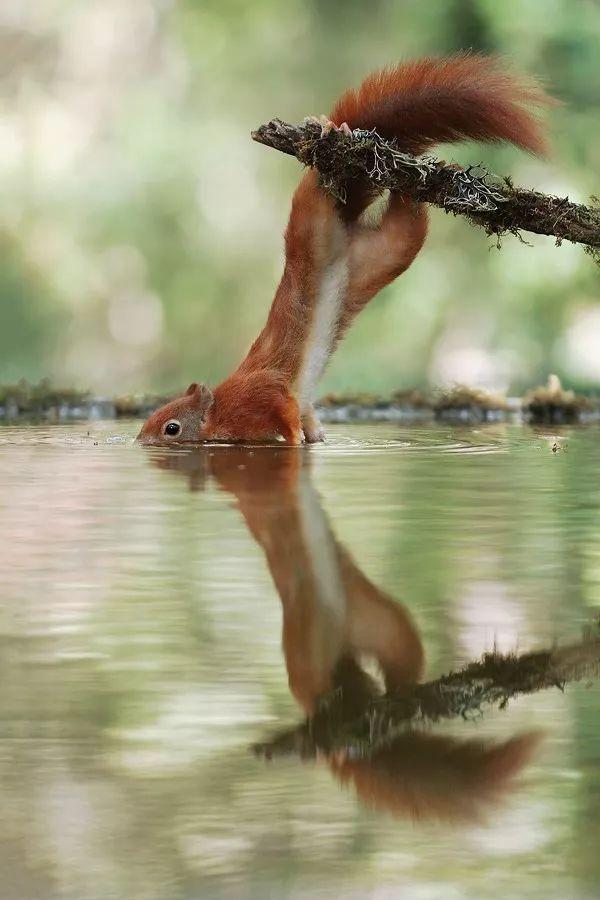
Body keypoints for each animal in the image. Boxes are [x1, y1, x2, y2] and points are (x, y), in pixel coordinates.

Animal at [138, 55, 552, 446]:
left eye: (171, 428)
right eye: (150, 419)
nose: (140, 441)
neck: (221, 408)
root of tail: (347, 228)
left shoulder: (258, 394)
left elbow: (283, 407)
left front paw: (293, 438)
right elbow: (307, 416)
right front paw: (313, 437)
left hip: (313, 218)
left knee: (320, 186)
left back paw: (330, 131)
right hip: (382, 256)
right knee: (407, 223)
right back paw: (414, 184)